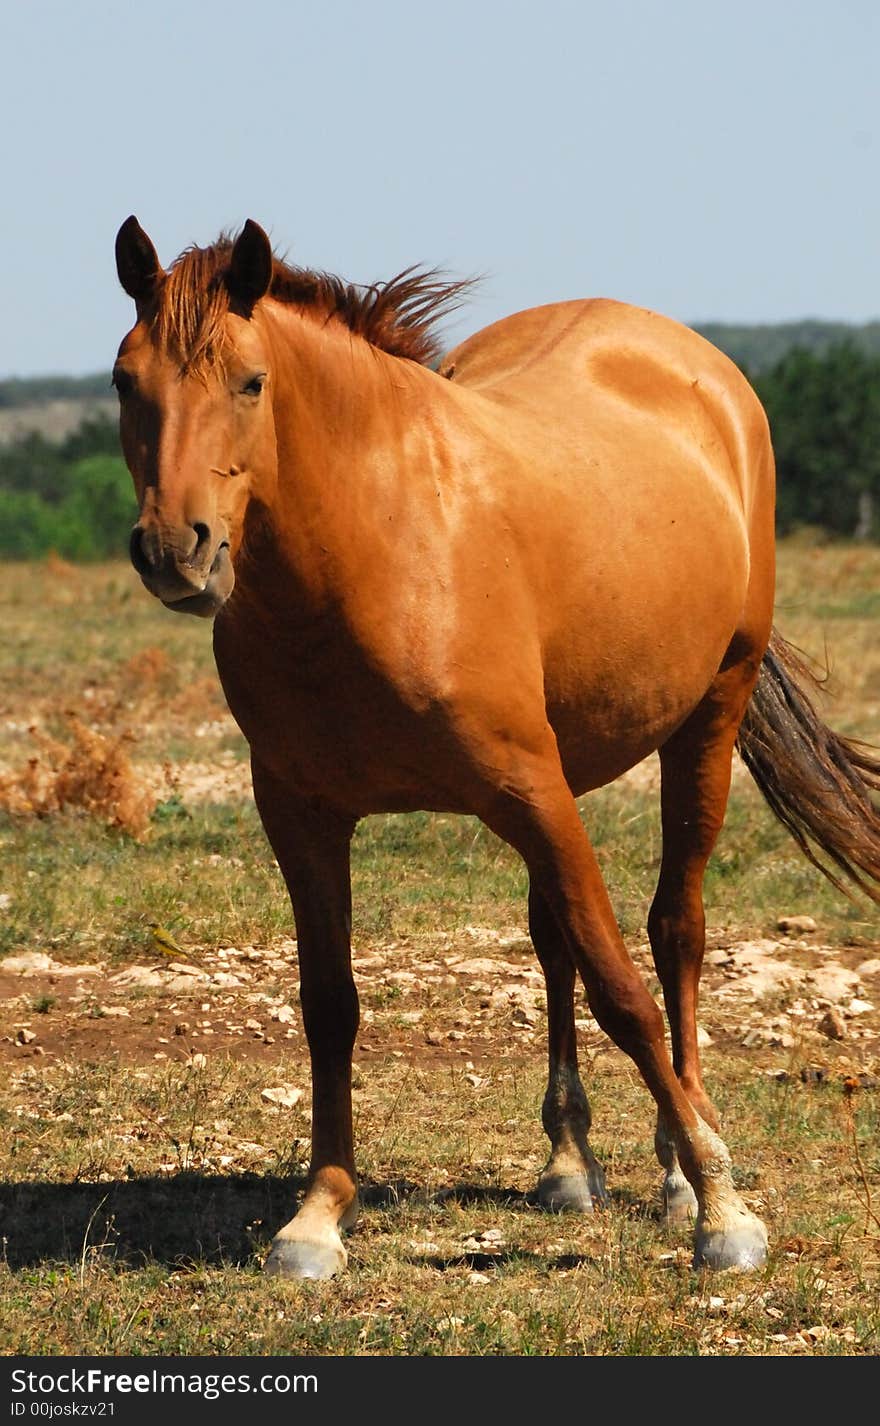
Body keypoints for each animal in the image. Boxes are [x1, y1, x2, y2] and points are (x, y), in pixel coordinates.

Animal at [113, 219, 878, 1283]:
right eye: (124, 381)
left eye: (251, 382)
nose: (173, 553)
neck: (381, 547)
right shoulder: (303, 814)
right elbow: (329, 1005)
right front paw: (318, 1214)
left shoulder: (530, 790)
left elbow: (624, 991)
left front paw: (723, 1207)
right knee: (553, 941)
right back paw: (568, 1160)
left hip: (706, 723)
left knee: (674, 933)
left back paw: (682, 1165)